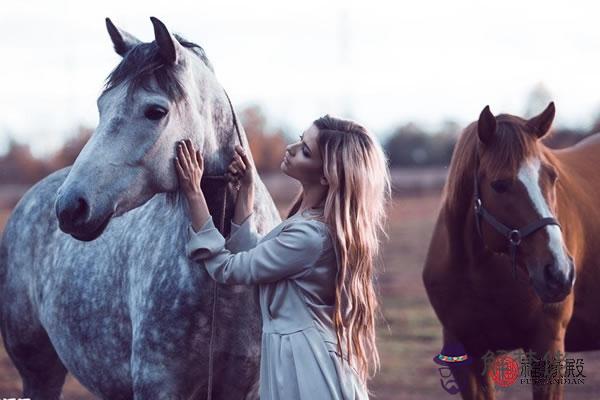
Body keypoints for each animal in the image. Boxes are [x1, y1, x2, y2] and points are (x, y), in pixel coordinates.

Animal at [0, 17, 282, 398]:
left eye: (155, 111)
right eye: (102, 106)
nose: (70, 208)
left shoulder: (242, 387)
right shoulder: (158, 385)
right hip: (38, 371)